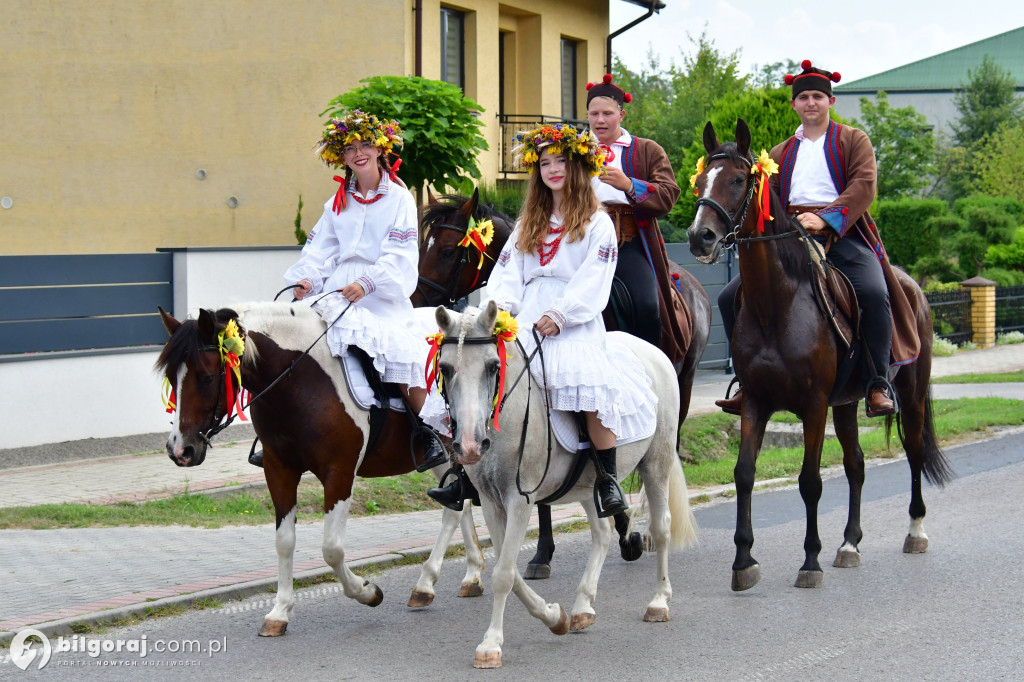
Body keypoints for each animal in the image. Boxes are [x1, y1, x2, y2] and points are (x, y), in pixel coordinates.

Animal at [153, 301, 485, 630]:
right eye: (170, 375)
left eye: (207, 377)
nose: (180, 449)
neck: (300, 378)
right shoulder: (279, 469)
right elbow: (285, 541)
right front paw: (280, 611)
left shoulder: (339, 472)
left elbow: (332, 549)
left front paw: (367, 592)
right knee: (462, 502)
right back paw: (470, 576)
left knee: (454, 511)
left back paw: (425, 584)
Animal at [415, 188, 712, 577]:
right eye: (424, 246)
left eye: (449, 250)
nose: (415, 298)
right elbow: (542, 501)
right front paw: (542, 553)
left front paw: (625, 533)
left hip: (683, 383)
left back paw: (643, 529)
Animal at [684, 119, 954, 585]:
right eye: (701, 181)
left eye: (738, 179)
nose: (700, 237)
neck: (776, 304)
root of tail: (913, 286)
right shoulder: (755, 403)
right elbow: (744, 473)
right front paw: (744, 561)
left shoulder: (812, 406)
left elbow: (810, 481)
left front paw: (809, 561)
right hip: (845, 404)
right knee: (856, 464)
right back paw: (849, 544)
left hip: (912, 392)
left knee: (915, 450)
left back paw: (915, 531)